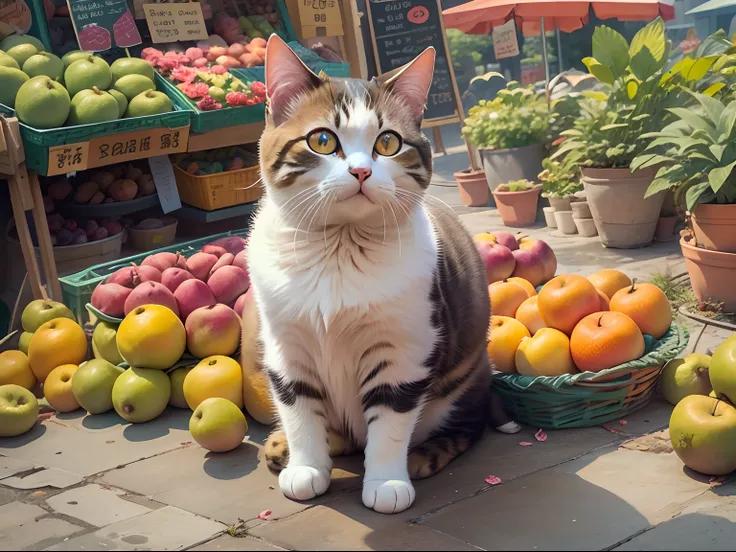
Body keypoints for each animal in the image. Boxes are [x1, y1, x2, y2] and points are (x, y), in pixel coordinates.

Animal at [247, 36, 494, 516]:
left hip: (468, 378)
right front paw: (306, 466)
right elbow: (299, 410)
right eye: (322, 140)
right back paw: (283, 446)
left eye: (389, 142)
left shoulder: (404, 348)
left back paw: (423, 455)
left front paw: (386, 481)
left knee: (468, 425)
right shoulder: (286, 347)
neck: (339, 251)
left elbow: (391, 423)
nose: (360, 171)